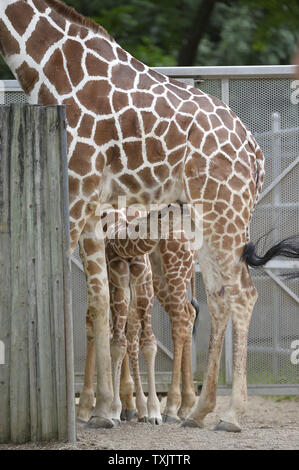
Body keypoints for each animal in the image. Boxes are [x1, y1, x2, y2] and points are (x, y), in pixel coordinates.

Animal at [1, 0, 298, 434]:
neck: (53, 71)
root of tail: (255, 153)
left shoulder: (76, 191)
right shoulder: (92, 211)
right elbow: (99, 305)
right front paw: (103, 409)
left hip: (222, 211)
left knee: (242, 294)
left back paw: (229, 415)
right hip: (207, 221)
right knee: (217, 299)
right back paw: (198, 411)